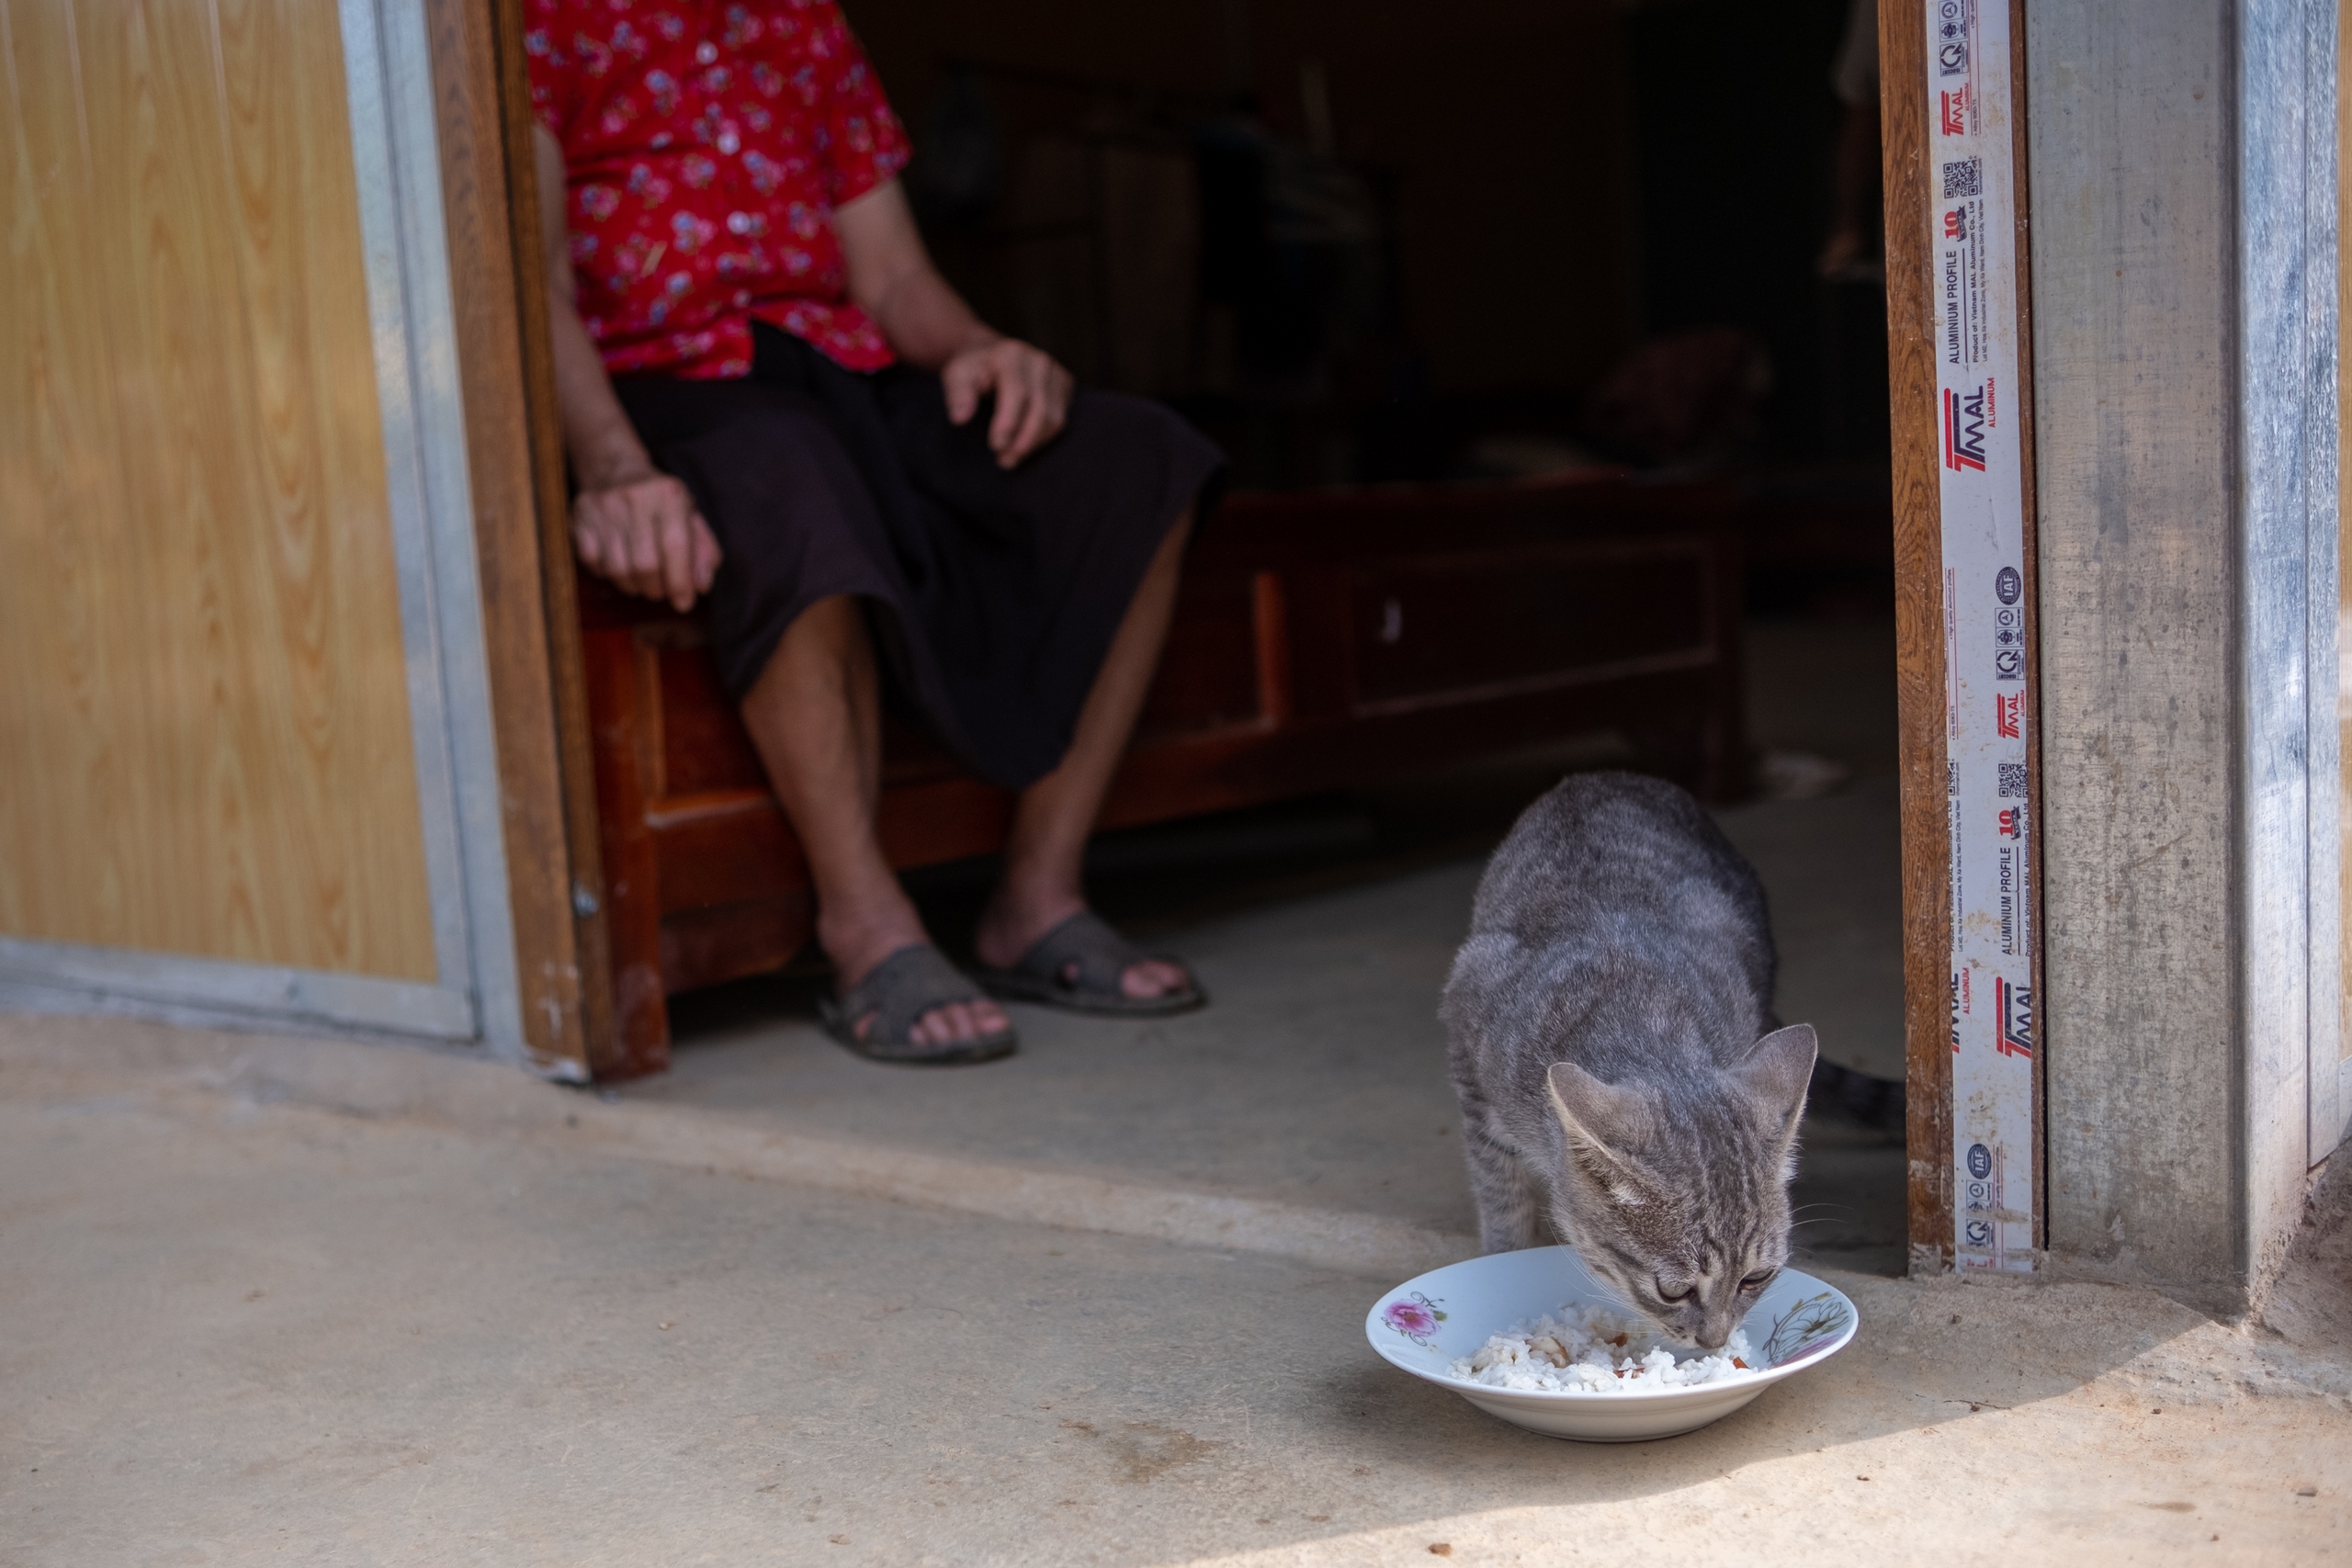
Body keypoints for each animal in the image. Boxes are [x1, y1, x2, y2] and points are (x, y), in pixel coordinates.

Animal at [1430, 771, 1815, 1354]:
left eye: (1756, 1278)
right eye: (1672, 1290)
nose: (1715, 1343)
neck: (1636, 1009)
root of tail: (1607, 775)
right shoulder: (1470, 1060)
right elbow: (1500, 1193)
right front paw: (1503, 1258)